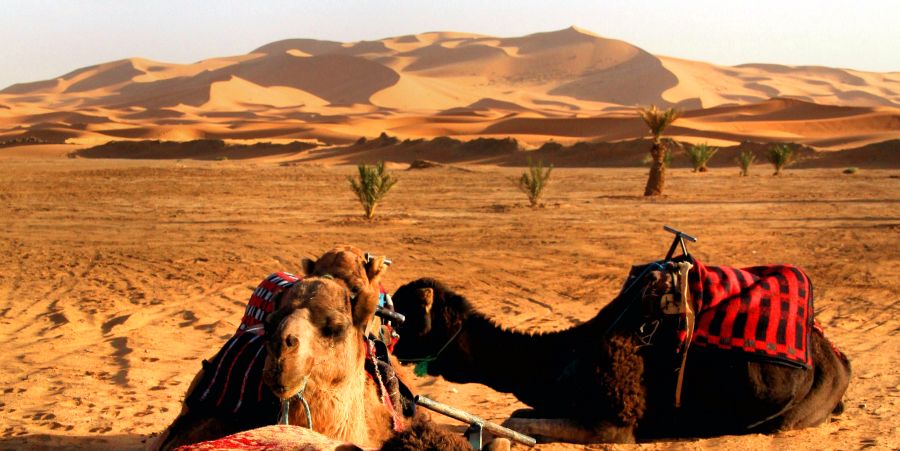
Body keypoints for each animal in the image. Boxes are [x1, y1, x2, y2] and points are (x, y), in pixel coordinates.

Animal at [392, 270, 852, 444]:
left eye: (408, 312)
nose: (390, 341)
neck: (560, 359)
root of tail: (837, 360)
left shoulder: (613, 424)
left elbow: (516, 422)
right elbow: (519, 414)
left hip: (794, 413)